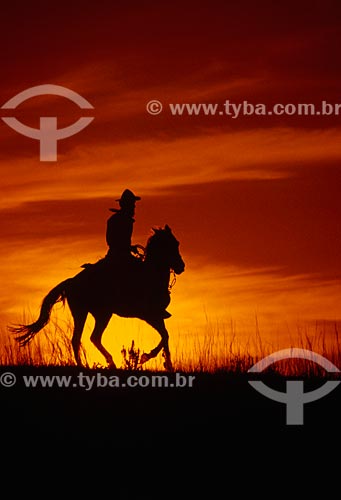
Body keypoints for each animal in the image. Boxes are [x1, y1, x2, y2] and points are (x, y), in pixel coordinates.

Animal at [10, 225, 185, 370]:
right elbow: (164, 336)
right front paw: (146, 357)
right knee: (87, 338)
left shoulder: (158, 315)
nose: (181, 267)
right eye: (172, 244)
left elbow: (165, 336)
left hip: (91, 314)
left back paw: (96, 364)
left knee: (84, 338)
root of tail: (72, 281)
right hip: (95, 314)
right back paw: (98, 364)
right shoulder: (149, 315)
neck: (151, 274)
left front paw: (168, 364)